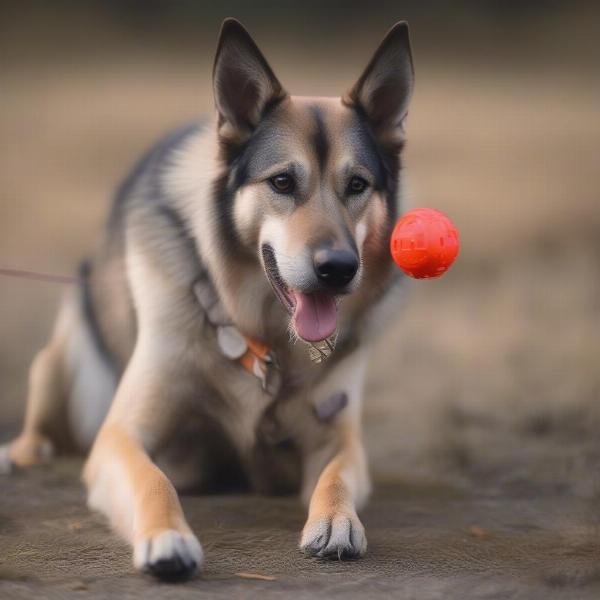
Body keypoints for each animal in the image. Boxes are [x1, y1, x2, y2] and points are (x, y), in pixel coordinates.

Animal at [0, 19, 412, 580]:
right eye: (282, 182)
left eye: (357, 185)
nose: (338, 269)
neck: (259, 330)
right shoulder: (121, 436)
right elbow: (154, 479)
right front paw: (168, 538)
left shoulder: (338, 436)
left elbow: (337, 474)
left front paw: (337, 520)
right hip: (57, 361)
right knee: (39, 431)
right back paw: (16, 454)